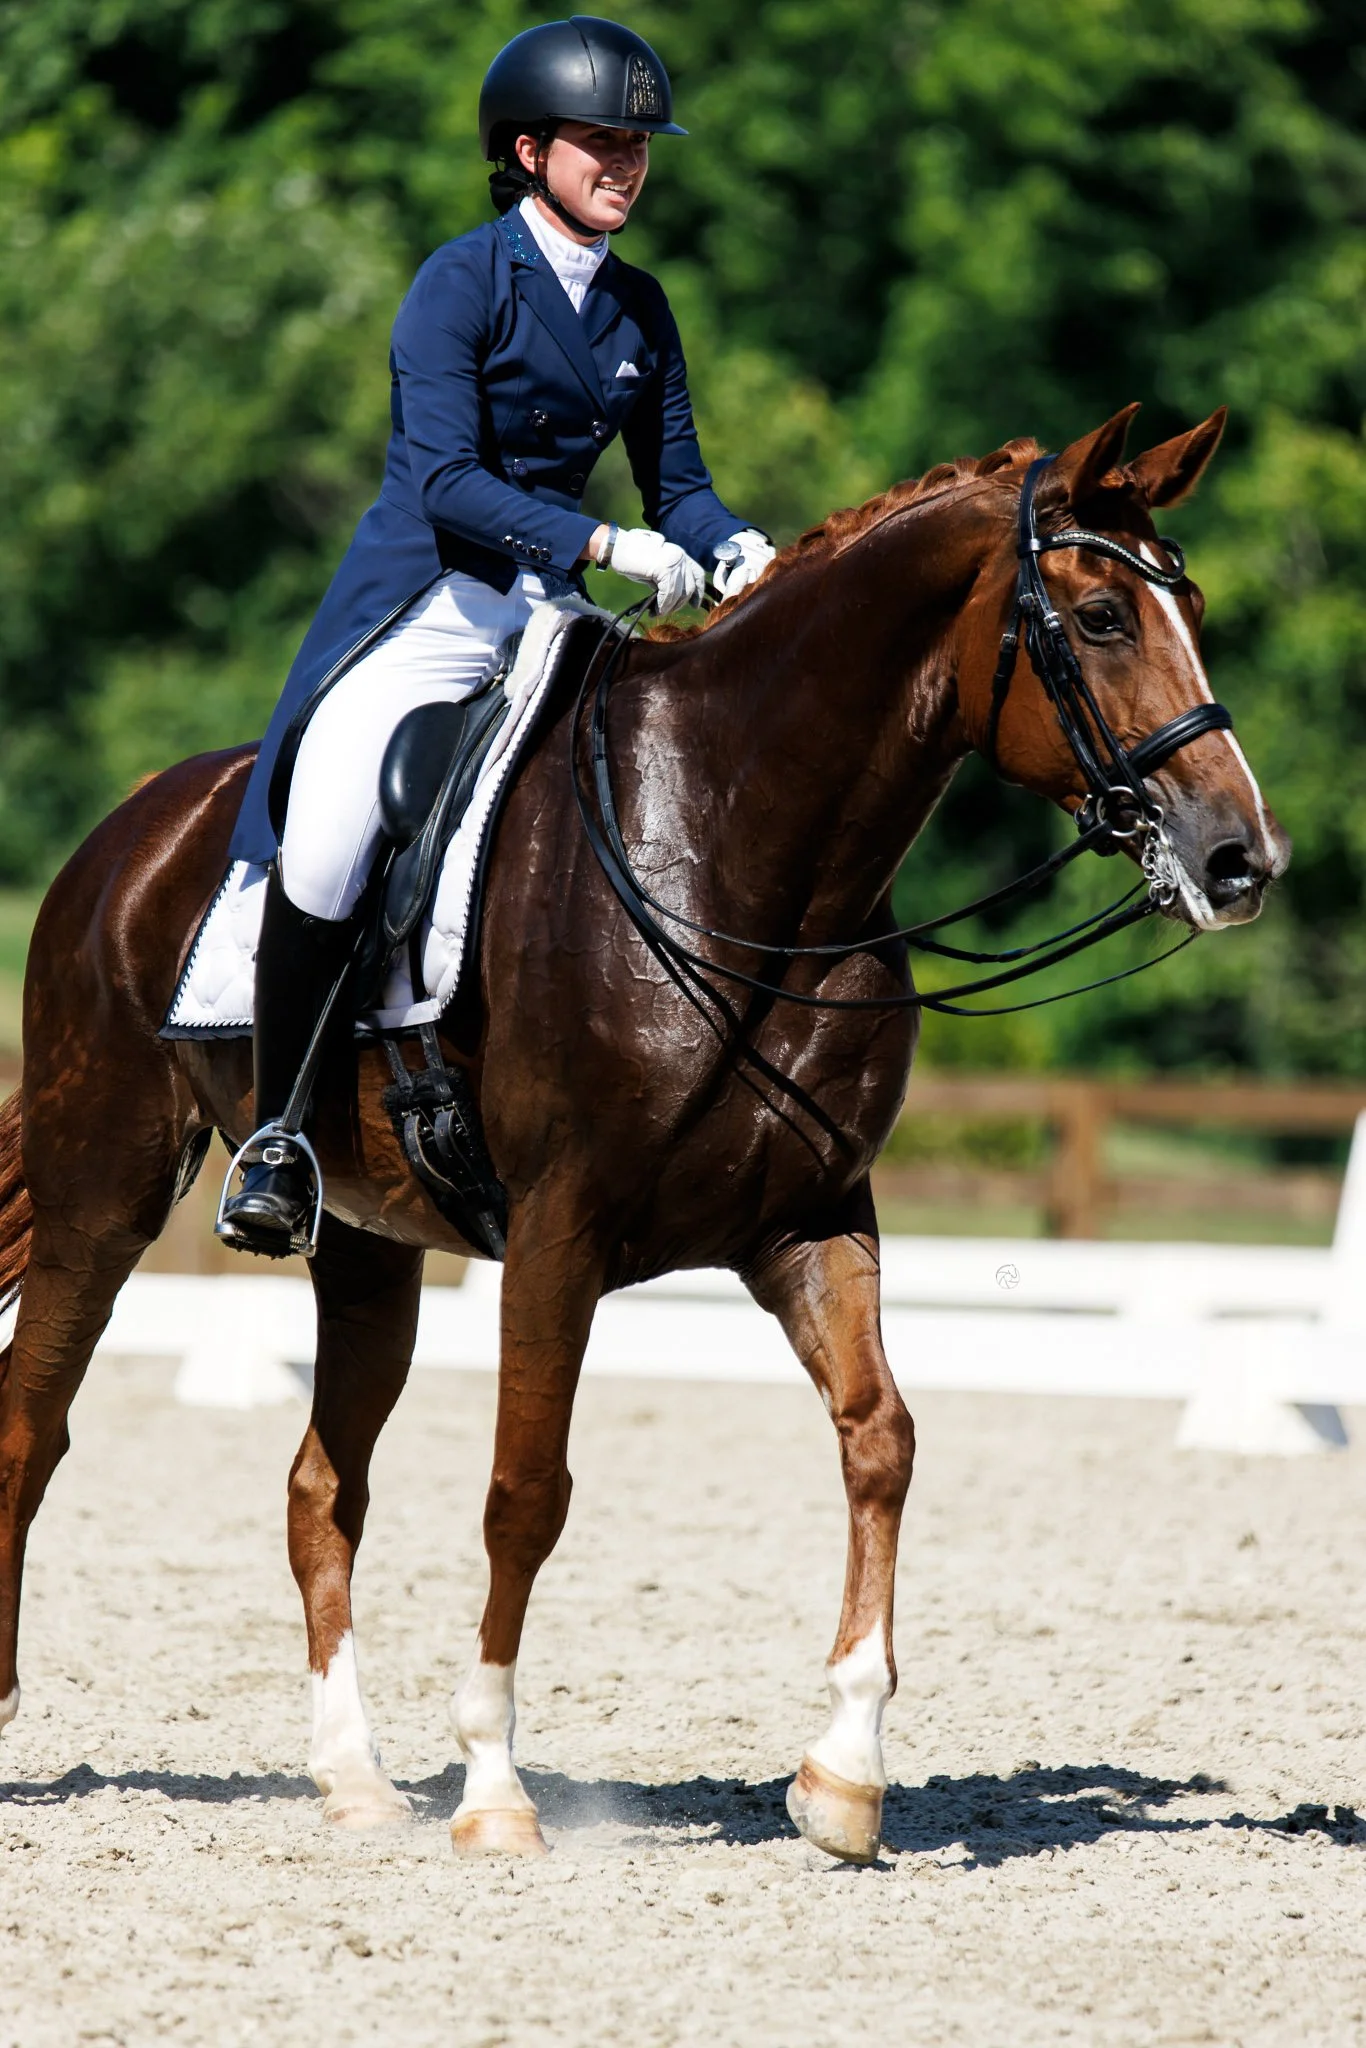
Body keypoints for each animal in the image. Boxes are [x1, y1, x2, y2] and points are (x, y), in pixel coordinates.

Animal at [0, 405, 1288, 1865]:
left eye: (1190, 607)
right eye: (1097, 615)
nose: (1240, 859)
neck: (743, 855)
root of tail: (131, 829)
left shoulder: (810, 1218)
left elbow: (881, 1437)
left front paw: (842, 1775)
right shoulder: (561, 1228)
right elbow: (526, 1488)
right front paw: (495, 1789)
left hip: (370, 1245)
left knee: (321, 1485)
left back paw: (354, 1778)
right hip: (102, 1189)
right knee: (33, 1430)